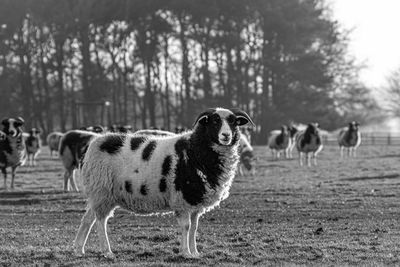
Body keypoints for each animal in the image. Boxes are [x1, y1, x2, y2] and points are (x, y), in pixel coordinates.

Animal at [73, 107, 255, 260]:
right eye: (214, 121)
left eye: (233, 122)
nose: (226, 136)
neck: (195, 150)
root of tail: (94, 144)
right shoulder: (182, 199)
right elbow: (186, 227)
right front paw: (186, 253)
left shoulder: (195, 202)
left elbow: (194, 228)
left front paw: (195, 252)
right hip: (102, 191)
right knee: (100, 221)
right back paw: (107, 251)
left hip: (100, 194)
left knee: (88, 218)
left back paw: (79, 249)